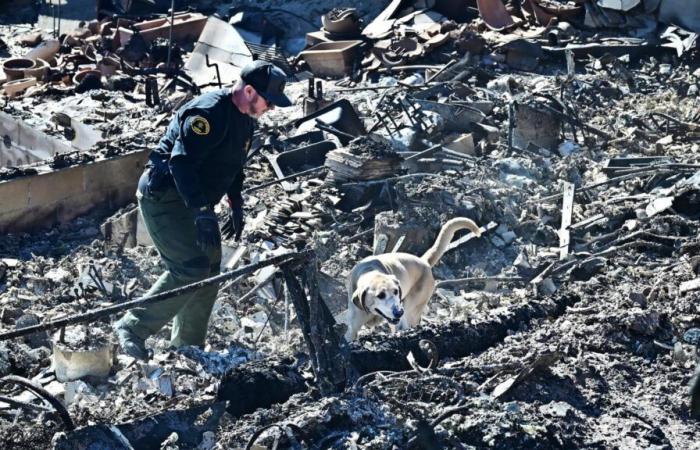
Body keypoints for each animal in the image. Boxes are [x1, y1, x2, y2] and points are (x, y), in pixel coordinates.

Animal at [344, 218, 482, 342]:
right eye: (380, 295)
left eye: (396, 291)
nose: (399, 312)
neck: (369, 271)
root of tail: (423, 261)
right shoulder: (352, 328)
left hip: (411, 309)